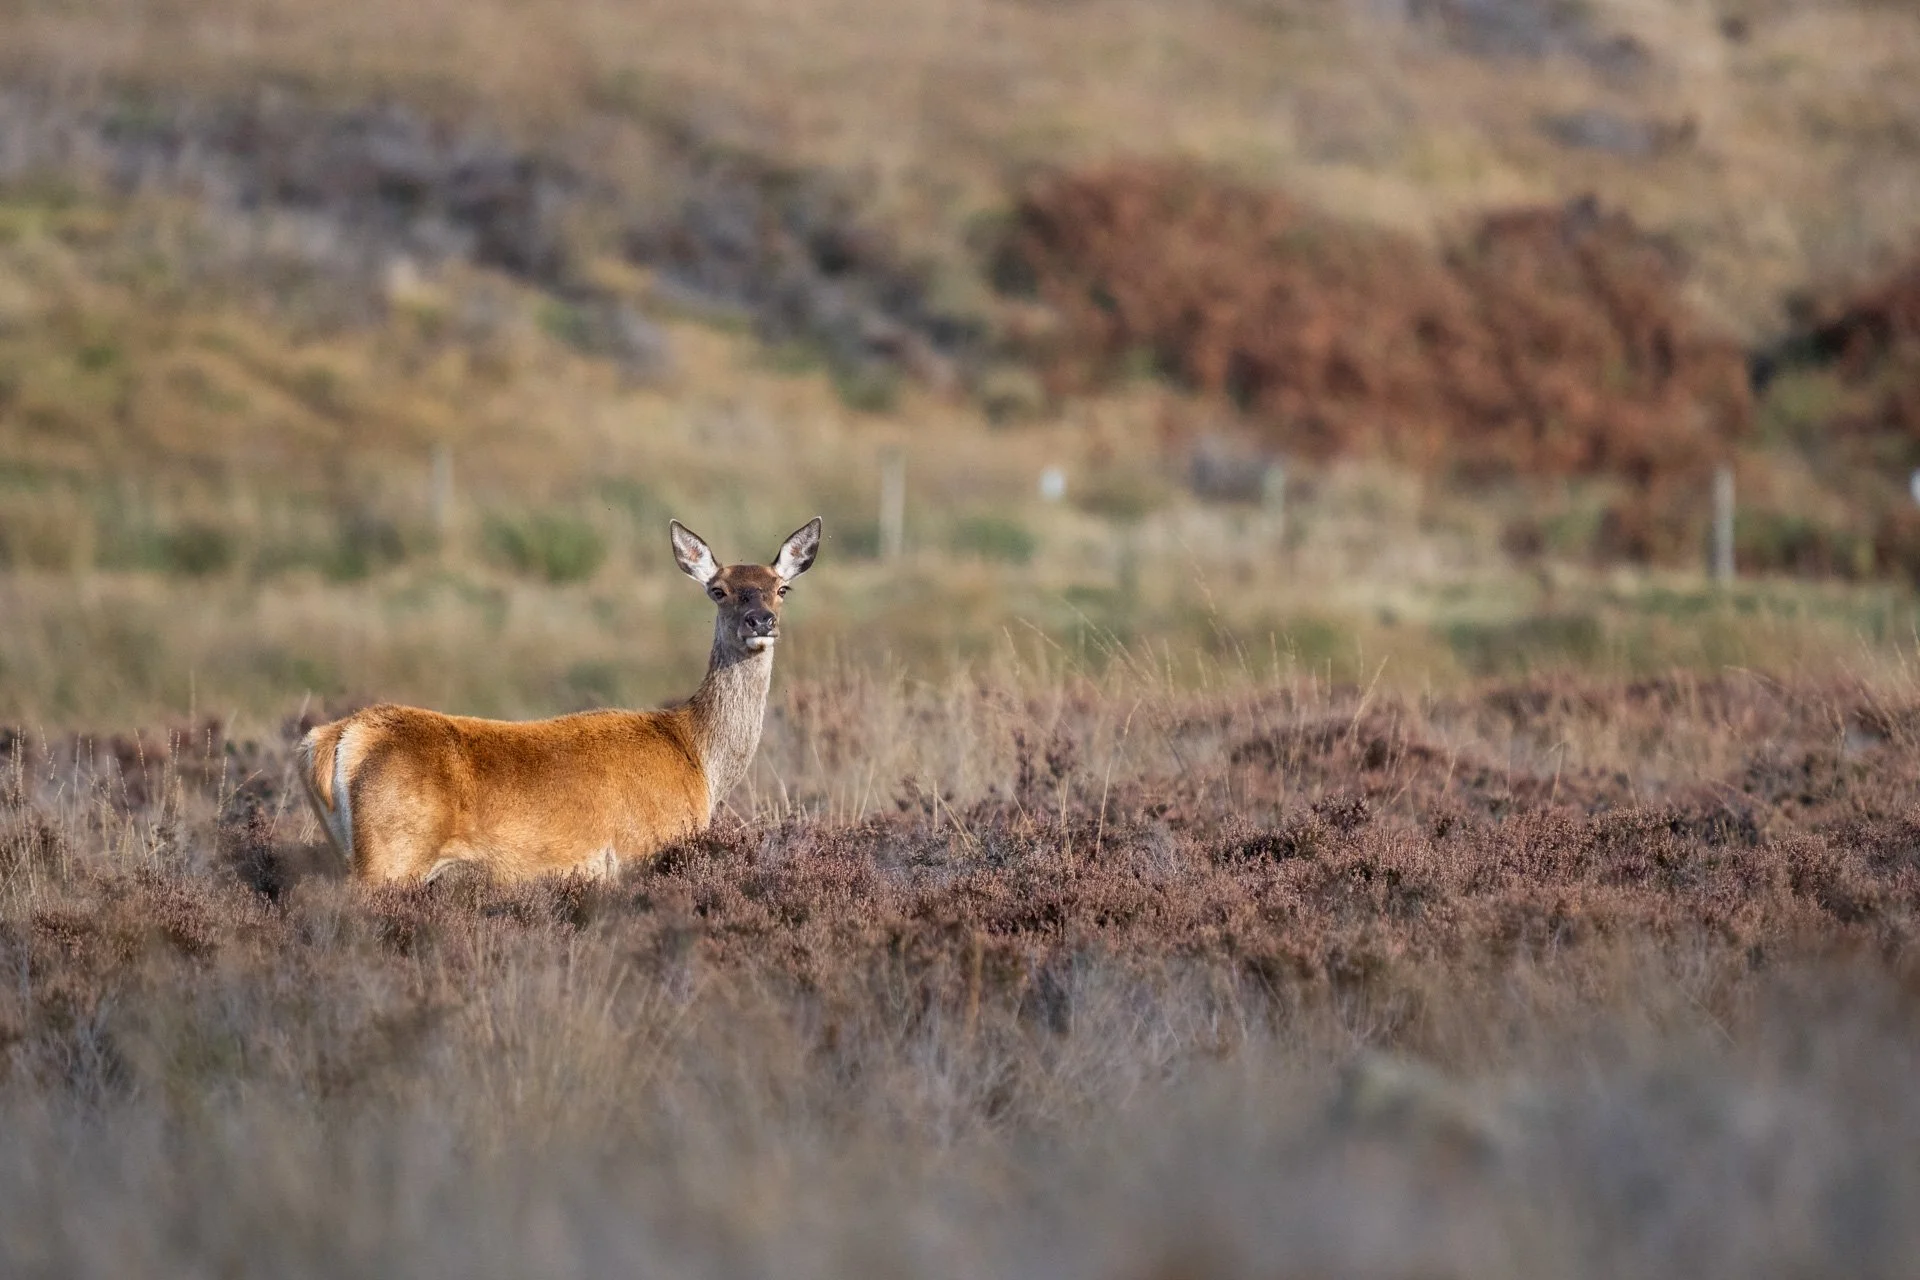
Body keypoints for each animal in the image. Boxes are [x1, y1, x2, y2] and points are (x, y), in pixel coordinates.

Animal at [295, 517, 821, 884]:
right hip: (391, 854)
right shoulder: (638, 853)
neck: (698, 758)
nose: (760, 620)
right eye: (718, 590)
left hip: (343, 851)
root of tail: (335, 739)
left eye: (782, 588)